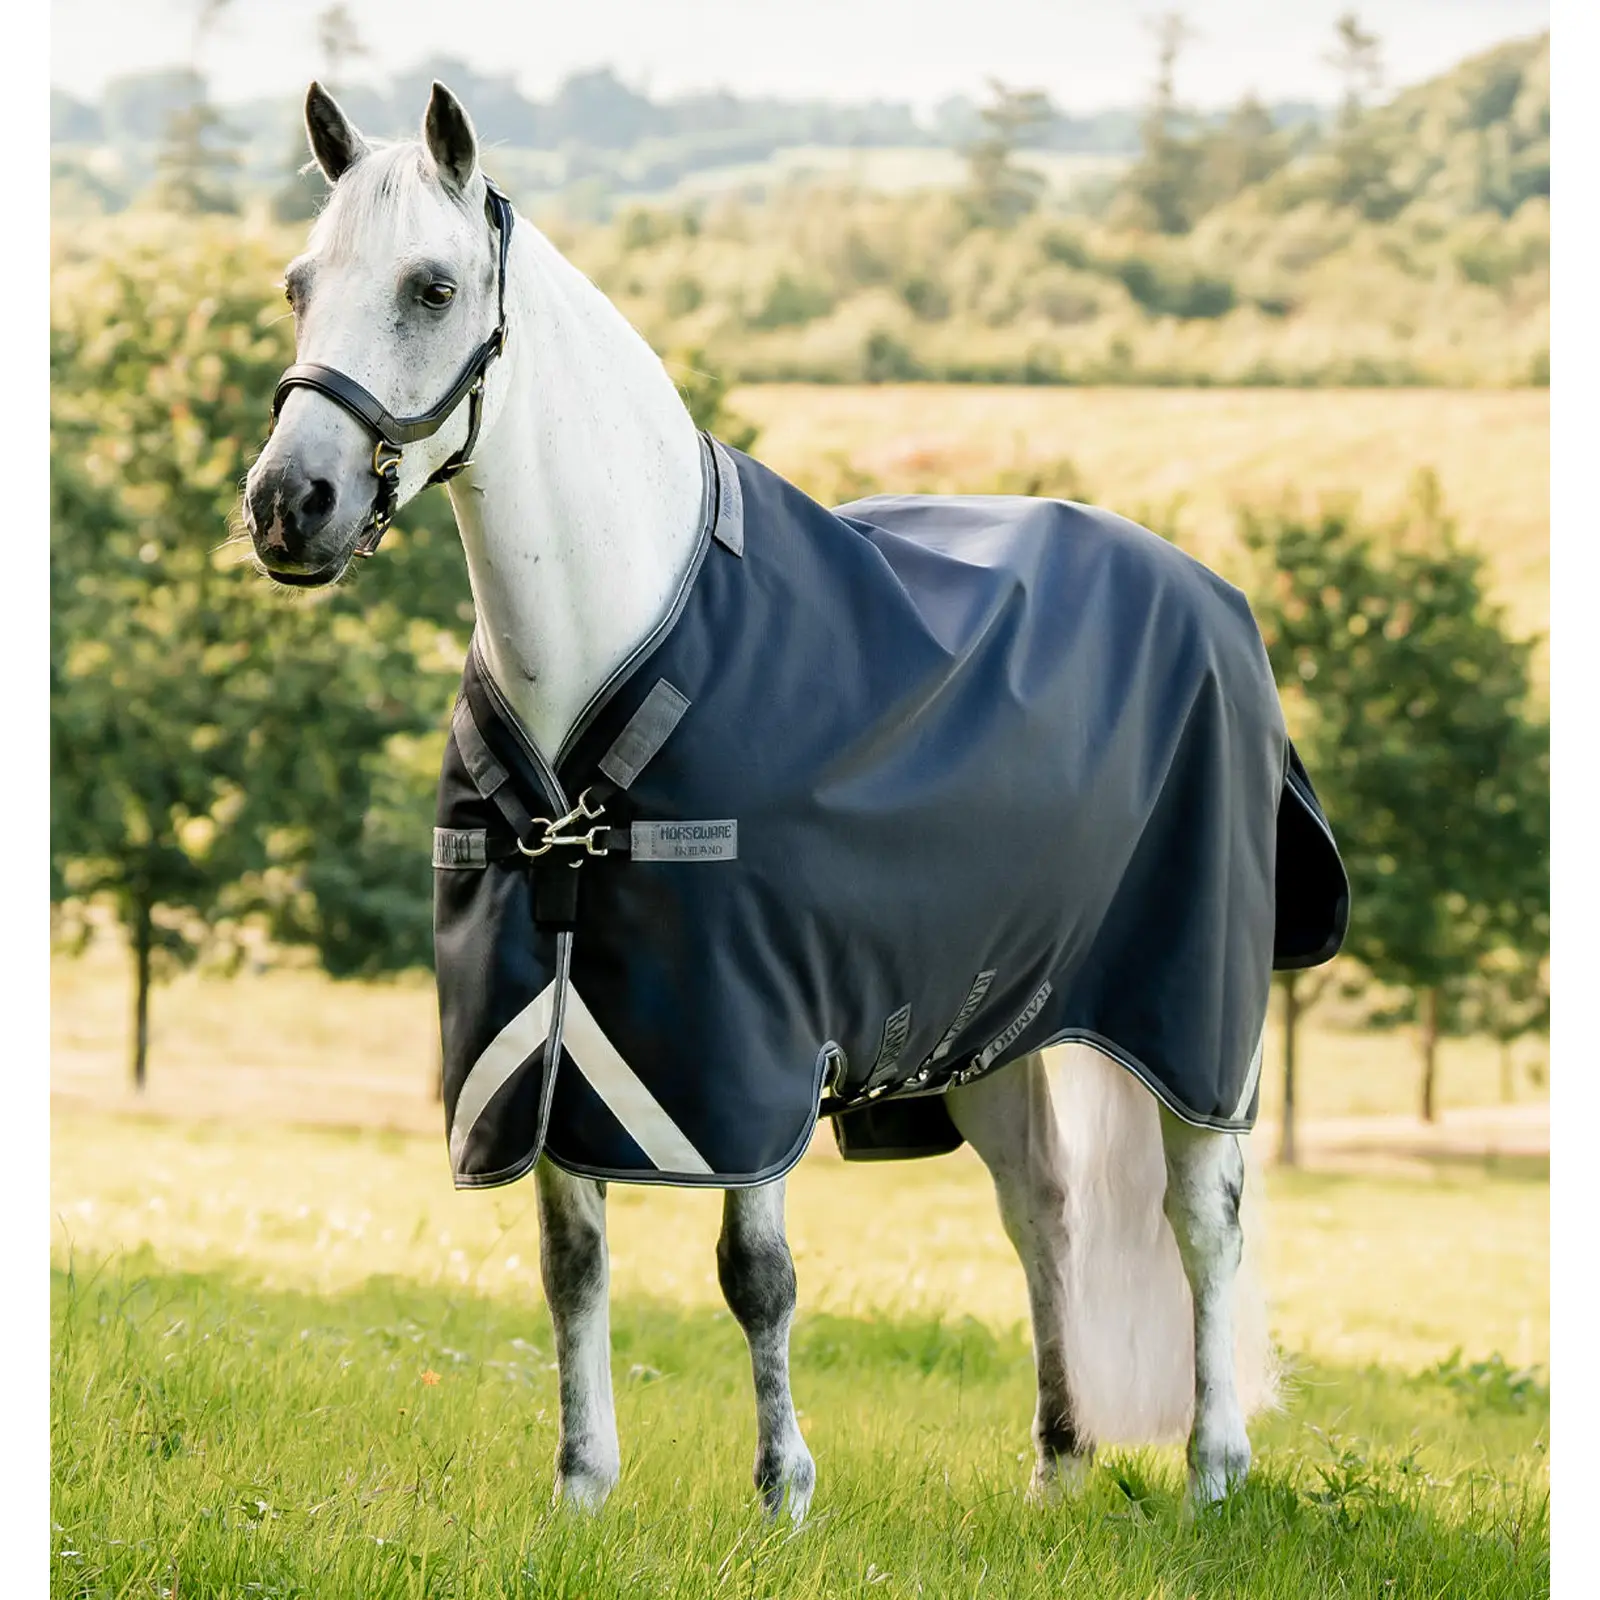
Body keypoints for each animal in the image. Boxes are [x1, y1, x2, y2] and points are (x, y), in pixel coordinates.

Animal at [242, 80, 1346, 1522]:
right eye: (298, 286)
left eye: (431, 288)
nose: (287, 504)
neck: (614, 642)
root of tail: (1212, 595)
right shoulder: (553, 1019)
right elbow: (570, 1261)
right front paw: (583, 1488)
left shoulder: (745, 1038)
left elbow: (754, 1274)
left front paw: (782, 1492)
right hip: (998, 1017)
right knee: (1043, 1212)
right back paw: (1058, 1463)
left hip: (1195, 1020)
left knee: (1199, 1220)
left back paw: (1216, 1466)